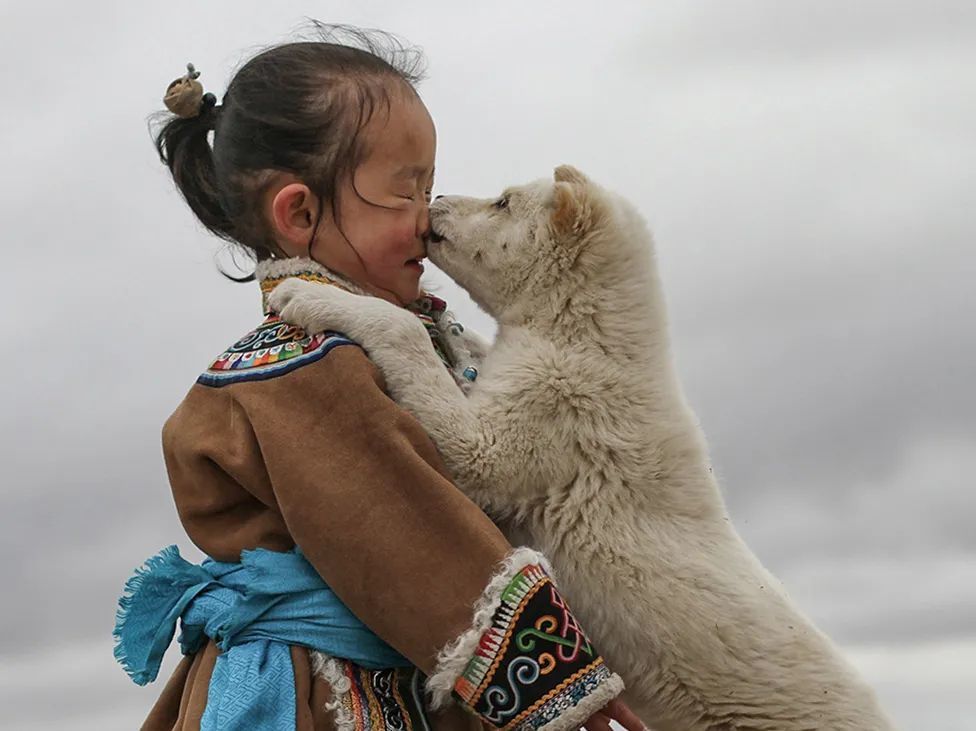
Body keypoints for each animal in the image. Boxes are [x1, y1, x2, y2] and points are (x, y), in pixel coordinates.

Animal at [270, 167, 896, 731]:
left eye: (503, 201)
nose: (437, 198)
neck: (587, 333)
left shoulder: (542, 418)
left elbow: (418, 362)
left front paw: (302, 290)